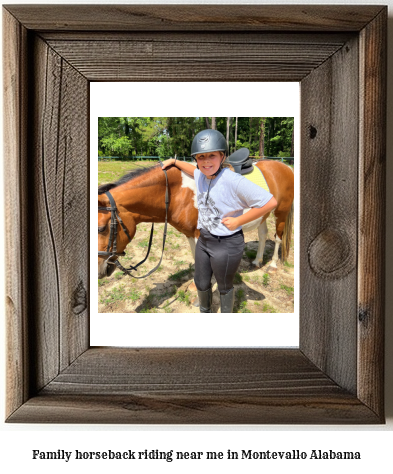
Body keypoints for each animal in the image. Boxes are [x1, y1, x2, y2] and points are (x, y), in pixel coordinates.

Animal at [98, 162, 294, 282]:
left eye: (101, 228)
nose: (99, 270)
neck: (177, 191)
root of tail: (286, 166)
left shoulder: (202, 234)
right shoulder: (190, 234)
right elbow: (197, 257)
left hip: (281, 212)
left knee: (277, 238)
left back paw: (273, 265)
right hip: (262, 215)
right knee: (263, 235)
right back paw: (257, 261)